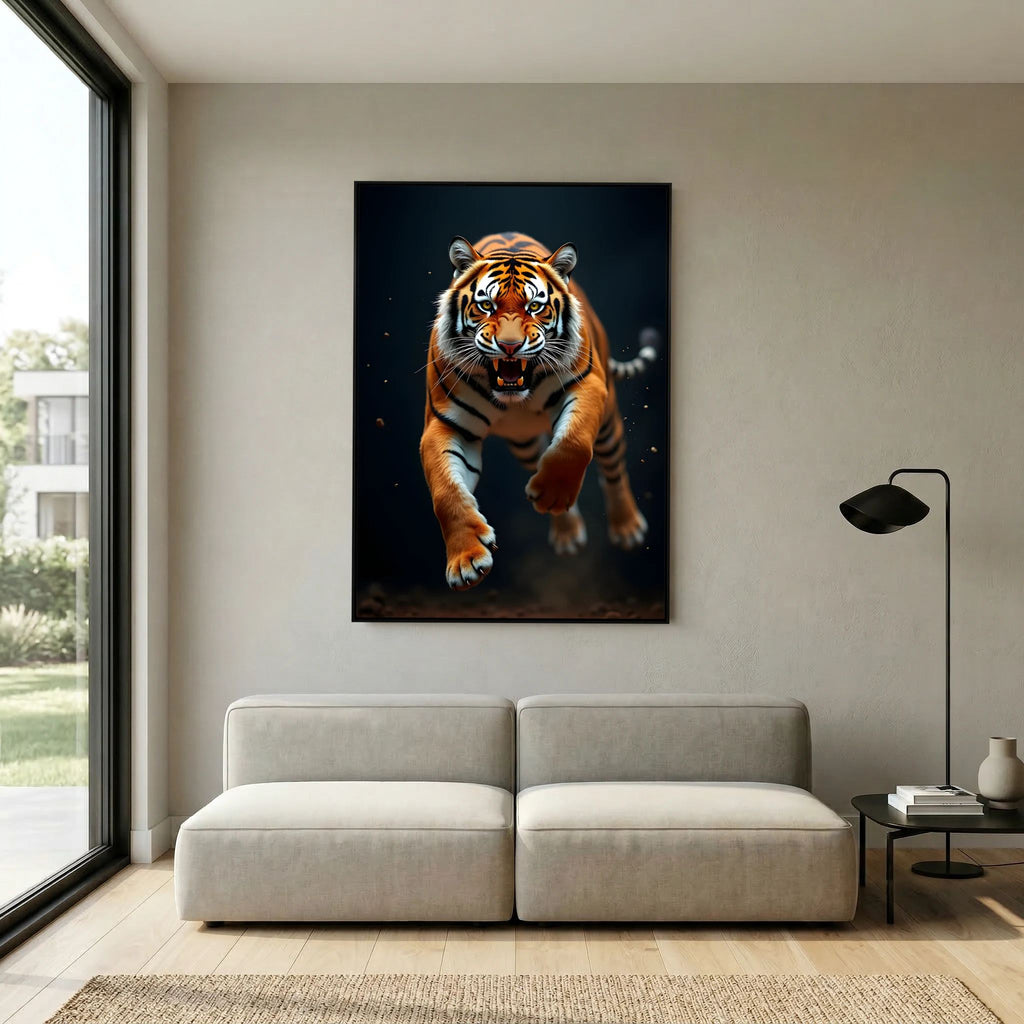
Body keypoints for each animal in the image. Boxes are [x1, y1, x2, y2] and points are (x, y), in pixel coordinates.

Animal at [420, 231, 657, 591]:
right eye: (486, 305)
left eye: (535, 306)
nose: (509, 346)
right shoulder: (444, 424)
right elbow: (446, 493)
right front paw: (466, 562)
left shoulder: (588, 386)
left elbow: (573, 443)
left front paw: (553, 494)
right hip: (523, 443)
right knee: (540, 458)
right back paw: (566, 533)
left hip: (608, 425)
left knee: (613, 469)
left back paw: (627, 527)